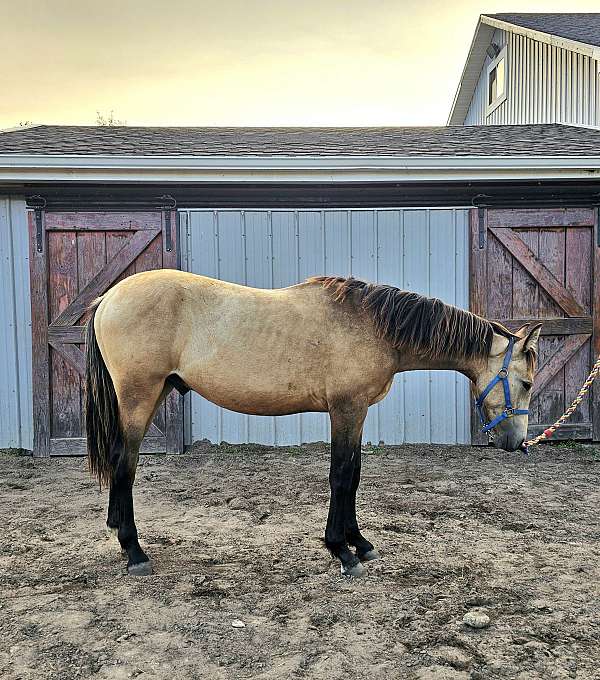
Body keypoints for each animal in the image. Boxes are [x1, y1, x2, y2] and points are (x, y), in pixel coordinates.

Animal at [86, 268, 540, 576]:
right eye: (526, 382)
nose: (516, 442)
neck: (371, 325)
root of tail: (108, 298)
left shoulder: (357, 413)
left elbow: (353, 476)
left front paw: (360, 543)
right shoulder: (346, 409)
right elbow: (340, 477)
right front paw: (341, 551)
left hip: (154, 393)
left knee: (119, 459)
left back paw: (117, 531)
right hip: (140, 397)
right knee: (125, 465)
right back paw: (134, 551)